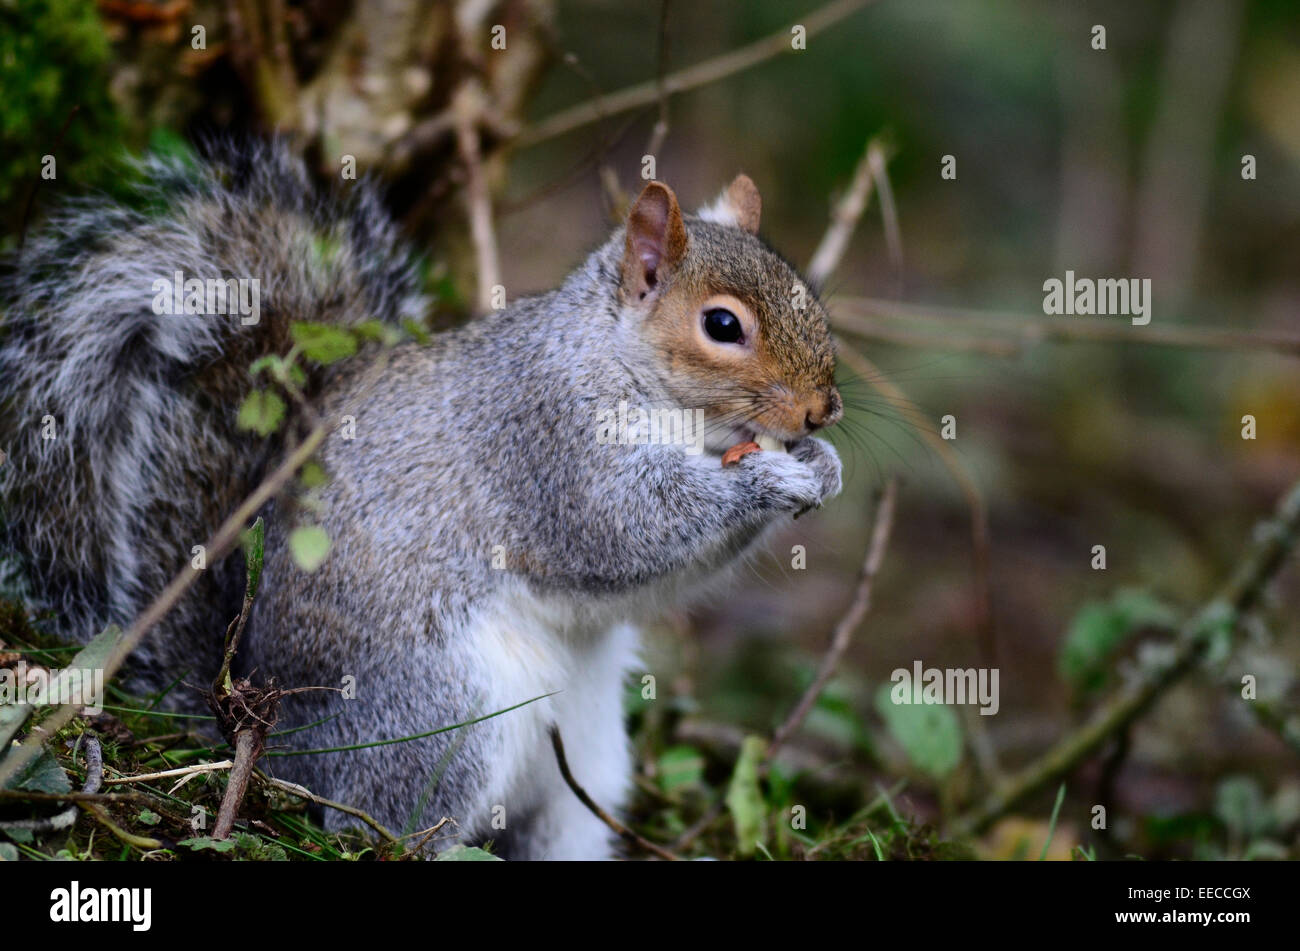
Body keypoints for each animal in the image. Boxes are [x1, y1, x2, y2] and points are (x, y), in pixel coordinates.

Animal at [0, 142, 842, 862]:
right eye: (722, 325)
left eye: (810, 299)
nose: (822, 410)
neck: (622, 363)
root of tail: (262, 725)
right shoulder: (547, 441)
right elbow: (623, 529)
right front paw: (767, 480)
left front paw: (822, 466)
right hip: (442, 716)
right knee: (387, 826)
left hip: (588, 760)